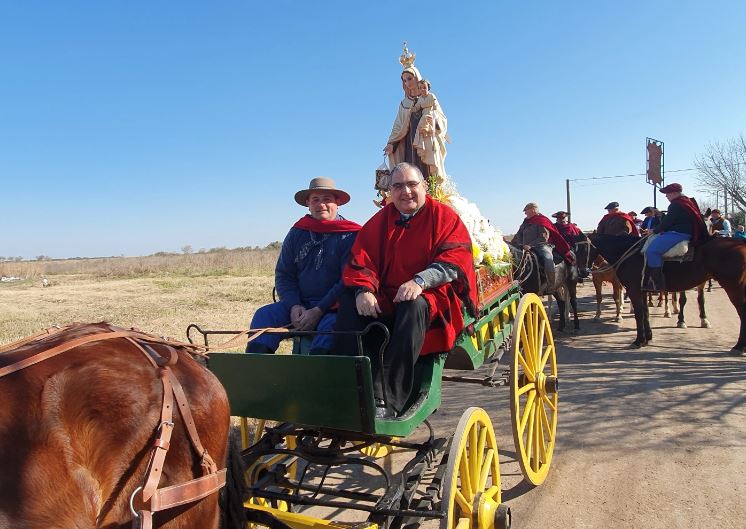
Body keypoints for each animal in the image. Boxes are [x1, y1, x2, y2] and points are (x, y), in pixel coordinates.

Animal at [588, 234, 744, 350]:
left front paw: (638, 341)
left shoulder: (634, 290)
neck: (627, 252)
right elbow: (645, 312)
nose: (585, 271)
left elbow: (639, 314)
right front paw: (647, 338)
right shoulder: (642, 290)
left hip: (733, 287)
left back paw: (739, 347)